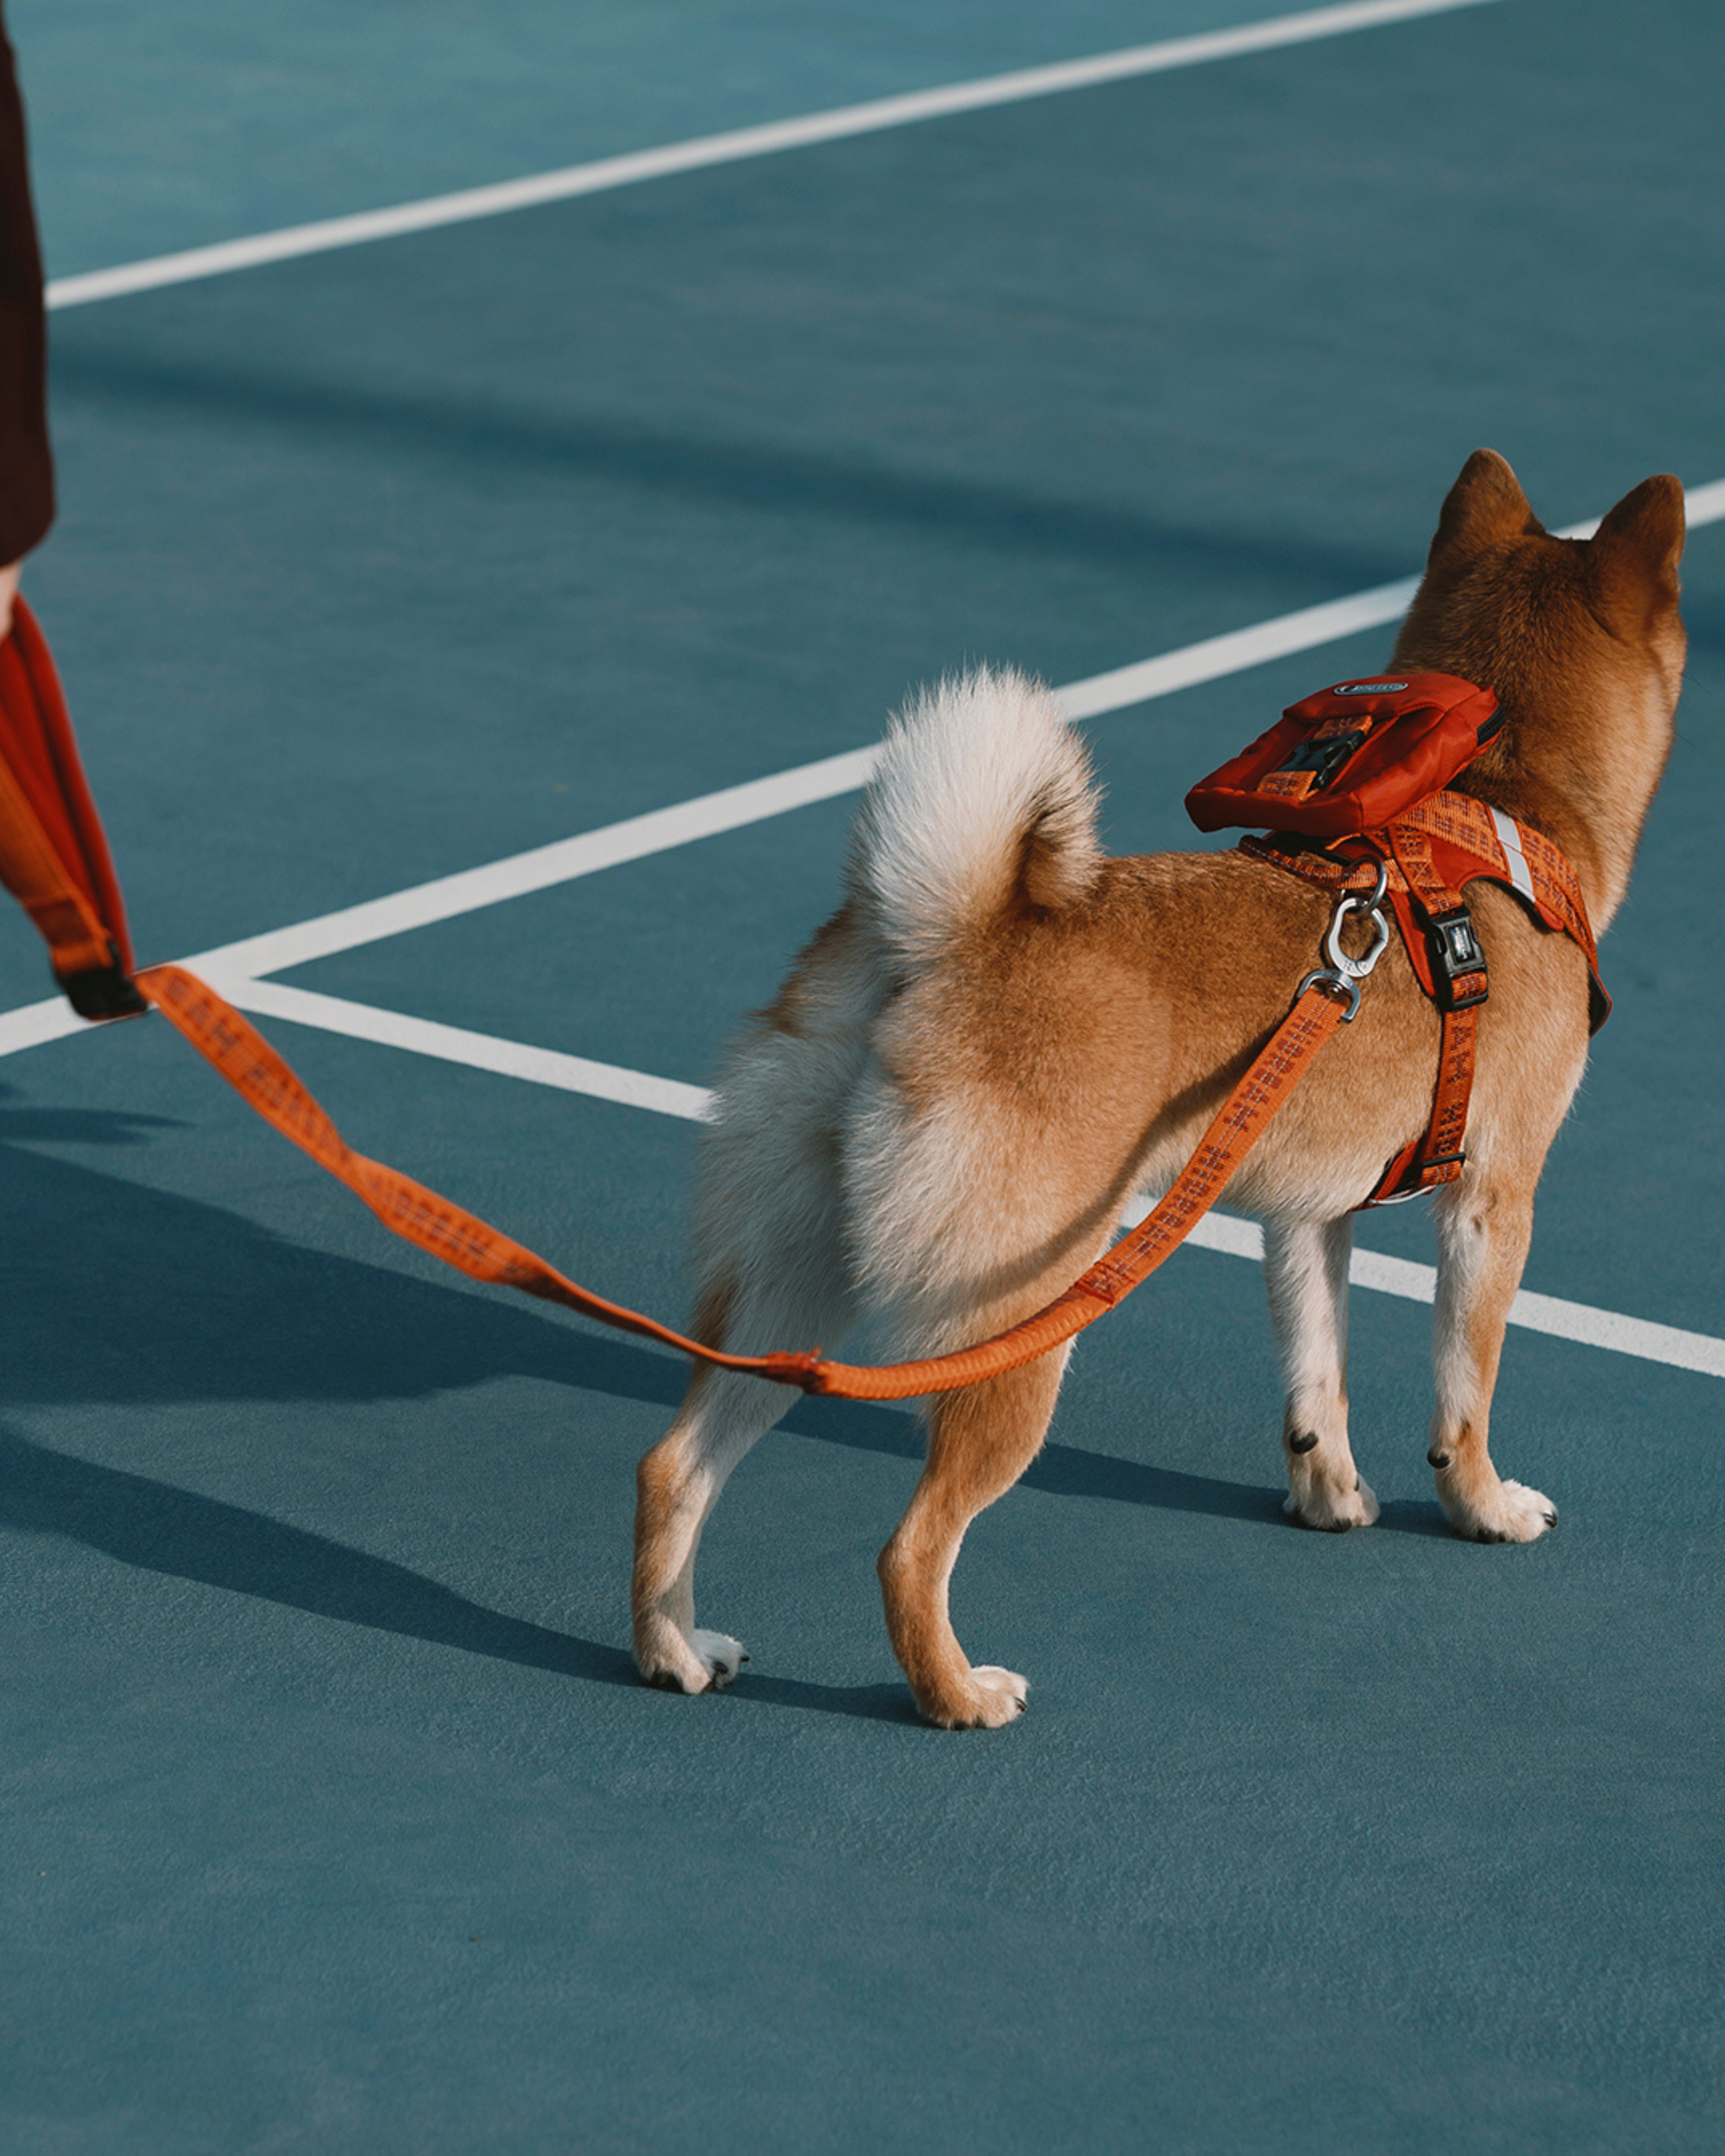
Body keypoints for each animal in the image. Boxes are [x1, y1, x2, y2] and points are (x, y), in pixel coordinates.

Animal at [630, 455, 1682, 1733]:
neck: (1498, 802)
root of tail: (942, 940)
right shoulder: (1492, 1201)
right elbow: (1463, 1389)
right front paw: (1482, 1505)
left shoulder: (1306, 1213)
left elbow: (1317, 1367)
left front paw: (1328, 1493)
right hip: (1023, 1323)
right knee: (909, 1547)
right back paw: (957, 1694)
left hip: (796, 1291)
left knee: (675, 1466)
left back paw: (674, 1651)